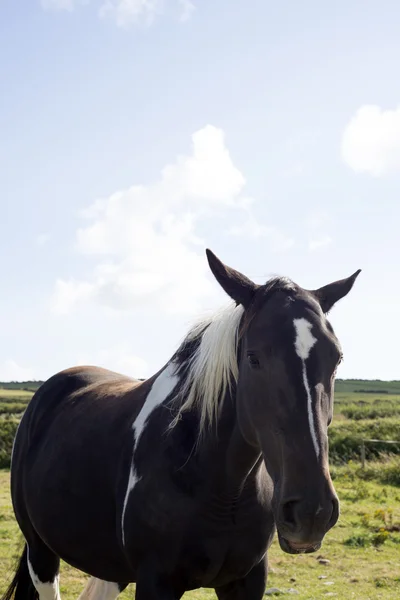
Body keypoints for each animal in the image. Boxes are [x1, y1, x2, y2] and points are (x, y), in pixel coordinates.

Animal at [2, 250, 360, 600]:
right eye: (253, 357)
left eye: (337, 358)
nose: (311, 511)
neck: (220, 486)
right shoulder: (155, 582)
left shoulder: (246, 580)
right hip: (42, 553)